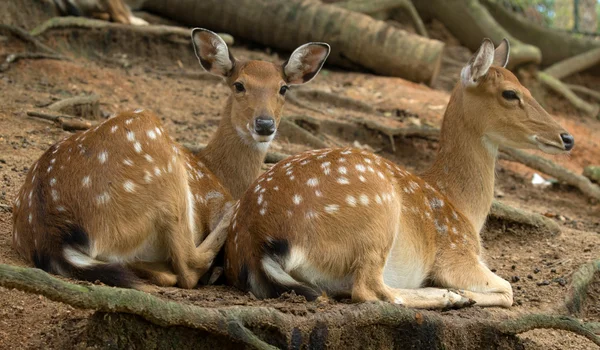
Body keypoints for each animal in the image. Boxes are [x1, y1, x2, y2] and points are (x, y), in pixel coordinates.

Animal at [10, 28, 328, 290]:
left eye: (283, 88)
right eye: (239, 85)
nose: (264, 124)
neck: (218, 171)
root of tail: (52, 234)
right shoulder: (210, 198)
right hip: (158, 164)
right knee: (187, 266)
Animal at [223, 38, 576, 308]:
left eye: (525, 87)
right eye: (509, 93)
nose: (567, 137)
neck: (463, 208)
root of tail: (257, 242)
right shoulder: (455, 253)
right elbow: (508, 289)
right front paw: (461, 292)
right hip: (376, 214)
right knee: (370, 289)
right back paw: (449, 296)